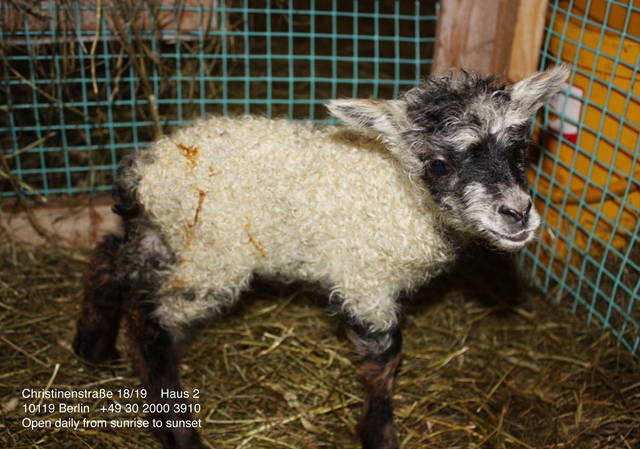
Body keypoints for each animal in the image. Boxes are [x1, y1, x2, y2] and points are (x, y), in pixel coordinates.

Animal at [73, 66, 568, 449]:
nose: (517, 213)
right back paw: (177, 432)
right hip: (214, 254)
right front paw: (380, 435)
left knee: (110, 260)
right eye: (440, 164)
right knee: (151, 318)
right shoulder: (364, 282)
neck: (399, 192)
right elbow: (384, 360)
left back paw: (92, 348)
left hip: (166, 232)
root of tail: (142, 169)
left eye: (519, 150)